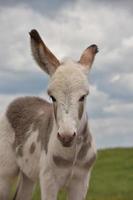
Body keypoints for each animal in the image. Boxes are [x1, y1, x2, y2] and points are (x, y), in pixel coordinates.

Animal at [0, 28, 97, 199]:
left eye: (83, 96)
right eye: (52, 97)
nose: (66, 137)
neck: (71, 156)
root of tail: (20, 98)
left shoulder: (81, 181)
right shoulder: (48, 179)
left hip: (28, 174)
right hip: (5, 171)